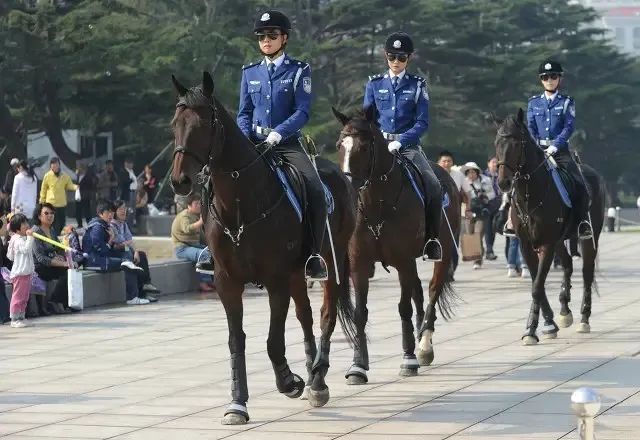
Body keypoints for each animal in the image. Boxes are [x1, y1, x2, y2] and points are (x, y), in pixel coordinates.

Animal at [170, 72, 358, 422]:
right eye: (175, 123)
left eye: (203, 124)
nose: (180, 181)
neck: (241, 204)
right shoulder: (227, 282)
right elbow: (236, 341)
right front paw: (237, 403)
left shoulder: (275, 280)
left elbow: (273, 340)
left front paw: (289, 382)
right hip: (298, 272)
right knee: (305, 315)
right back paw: (311, 373)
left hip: (332, 259)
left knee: (326, 315)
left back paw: (318, 381)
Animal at [330, 107, 460, 382]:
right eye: (339, 145)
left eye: (364, 147)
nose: (347, 184)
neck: (377, 204)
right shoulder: (359, 263)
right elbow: (360, 312)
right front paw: (358, 365)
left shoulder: (403, 260)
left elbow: (403, 308)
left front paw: (408, 359)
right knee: (419, 292)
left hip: (440, 254)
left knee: (432, 291)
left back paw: (424, 345)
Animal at [496, 109, 604, 344]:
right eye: (497, 143)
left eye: (516, 143)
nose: (503, 183)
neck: (531, 194)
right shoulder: (527, 244)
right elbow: (537, 283)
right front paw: (547, 324)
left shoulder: (546, 243)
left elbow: (537, 286)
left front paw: (532, 330)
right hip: (559, 240)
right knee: (567, 265)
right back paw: (565, 311)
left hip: (589, 238)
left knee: (587, 273)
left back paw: (584, 319)